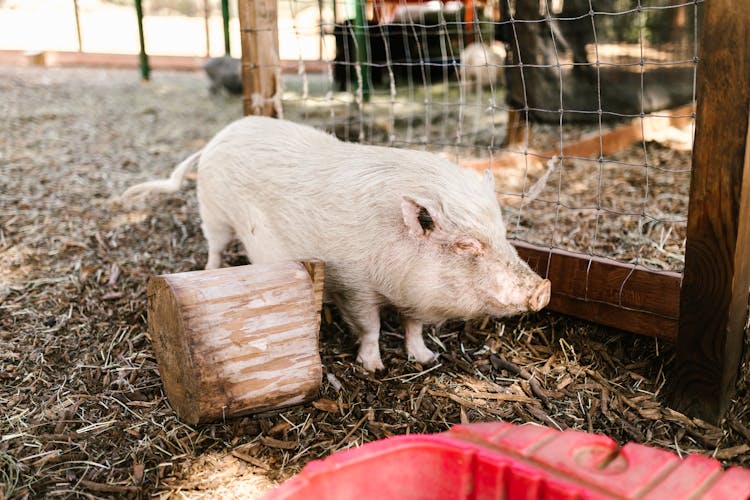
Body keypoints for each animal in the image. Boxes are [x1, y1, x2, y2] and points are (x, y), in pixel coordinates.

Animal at [120, 118, 548, 372]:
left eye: (502, 233)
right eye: (465, 246)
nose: (543, 289)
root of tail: (217, 137)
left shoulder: (414, 297)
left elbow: (412, 327)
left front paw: (426, 359)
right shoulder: (353, 286)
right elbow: (371, 326)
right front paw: (373, 368)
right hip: (212, 210)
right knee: (213, 244)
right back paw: (211, 270)